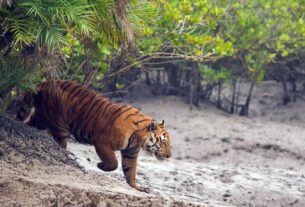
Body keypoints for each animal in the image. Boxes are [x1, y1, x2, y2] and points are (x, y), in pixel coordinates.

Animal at [17, 80, 171, 192]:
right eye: (163, 142)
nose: (169, 156)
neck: (138, 138)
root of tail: (43, 83)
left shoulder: (130, 153)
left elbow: (130, 170)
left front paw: (136, 187)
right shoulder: (102, 143)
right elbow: (113, 163)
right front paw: (100, 165)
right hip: (55, 123)